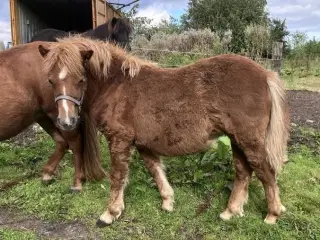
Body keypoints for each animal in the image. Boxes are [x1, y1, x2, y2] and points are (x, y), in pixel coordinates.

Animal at [0, 41, 107, 191]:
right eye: (50, 81)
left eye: (80, 80)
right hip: (45, 116)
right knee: (62, 142)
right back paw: (47, 173)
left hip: (56, 116)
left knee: (75, 142)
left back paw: (77, 182)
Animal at [37, 35, 290, 227]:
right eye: (50, 81)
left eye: (81, 80)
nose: (66, 121)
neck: (116, 86)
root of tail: (265, 75)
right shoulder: (143, 143)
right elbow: (156, 170)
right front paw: (168, 202)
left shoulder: (119, 140)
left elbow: (118, 177)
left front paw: (110, 213)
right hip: (236, 140)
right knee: (243, 171)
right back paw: (231, 211)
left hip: (249, 140)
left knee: (265, 171)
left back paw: (272, 214)